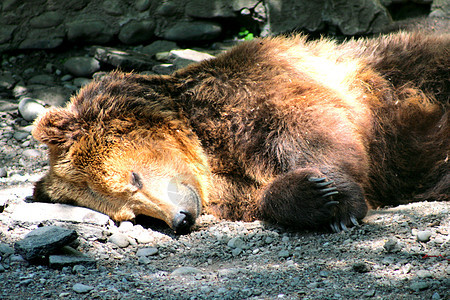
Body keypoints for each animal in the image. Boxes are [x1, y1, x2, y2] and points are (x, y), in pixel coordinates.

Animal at [31, 31, 446, 233]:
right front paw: (310, 196)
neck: (203, 145)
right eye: (131, 215)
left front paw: (337, 197)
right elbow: (255, 197)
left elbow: (311, 124)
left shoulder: (254, 86)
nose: (180, 219)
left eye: (132, 178)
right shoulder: (223, 185)